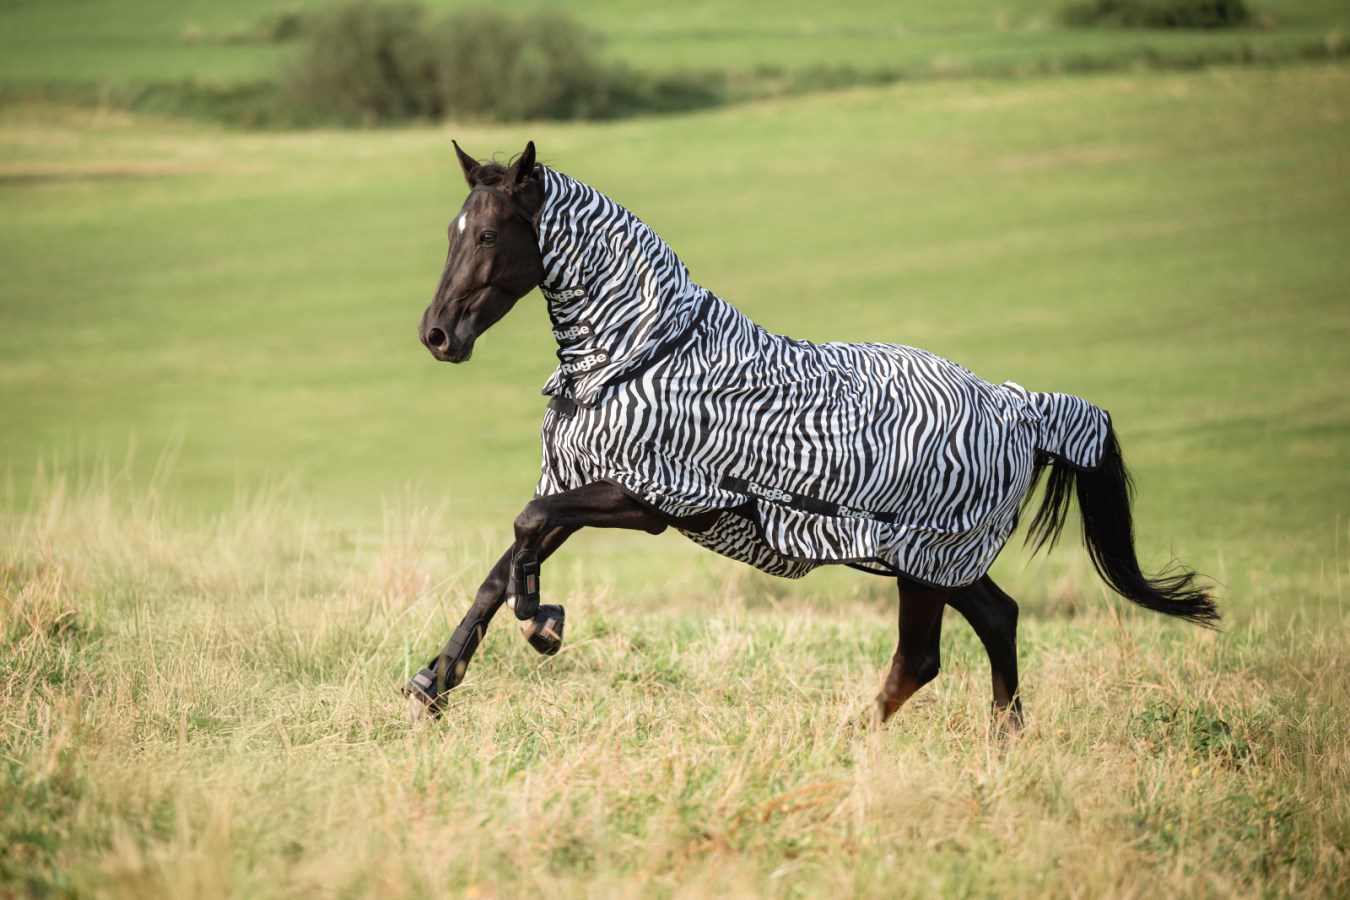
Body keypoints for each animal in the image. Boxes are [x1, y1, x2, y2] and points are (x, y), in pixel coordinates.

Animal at [407, 140, 1217, 728]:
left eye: (488, 233)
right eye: (449, 231)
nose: (437, 336)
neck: (635, 353)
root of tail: (1017, 407)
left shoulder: (653, 500)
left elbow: (525, 529)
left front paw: (542, 623)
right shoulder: (582, 485)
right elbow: (499, 567)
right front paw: (434, 683)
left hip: (925, 559)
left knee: (930, 652)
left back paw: (862, 742)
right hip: (931, 563)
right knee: (992, 621)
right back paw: (996, 740)